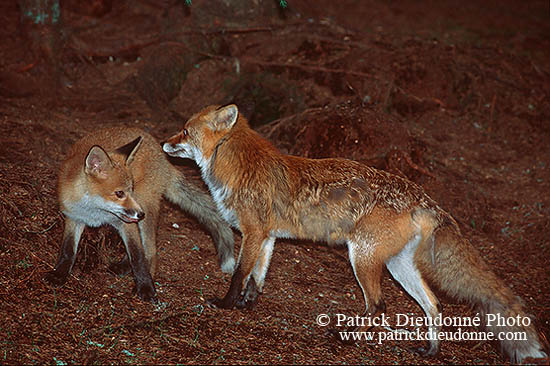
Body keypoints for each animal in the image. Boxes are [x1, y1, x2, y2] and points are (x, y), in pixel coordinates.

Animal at [46, 127, 236, 302]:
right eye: (119, 193)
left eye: (131, 189)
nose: (140, 214)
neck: (95, 213)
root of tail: (161, 153)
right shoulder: (74, 217)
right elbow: (68, 250)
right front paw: (59, 274)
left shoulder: (126, 222)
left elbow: (138, 256)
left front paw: (145, 287)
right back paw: (124, 265)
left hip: (145, 205)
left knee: (150, 250)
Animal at [164, 104, 550, 364]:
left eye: (184, 130)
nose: (164, 143)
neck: (236, 166)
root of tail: (421, 196)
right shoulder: (267, 237)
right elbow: (256, 278)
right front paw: (247, 306)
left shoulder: (254, 232)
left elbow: (240, 274)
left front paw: (226, 305)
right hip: (397, 266)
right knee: (433, 305)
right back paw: (430, 350)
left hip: (361, 257)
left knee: (378, 304)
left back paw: (351, 340)